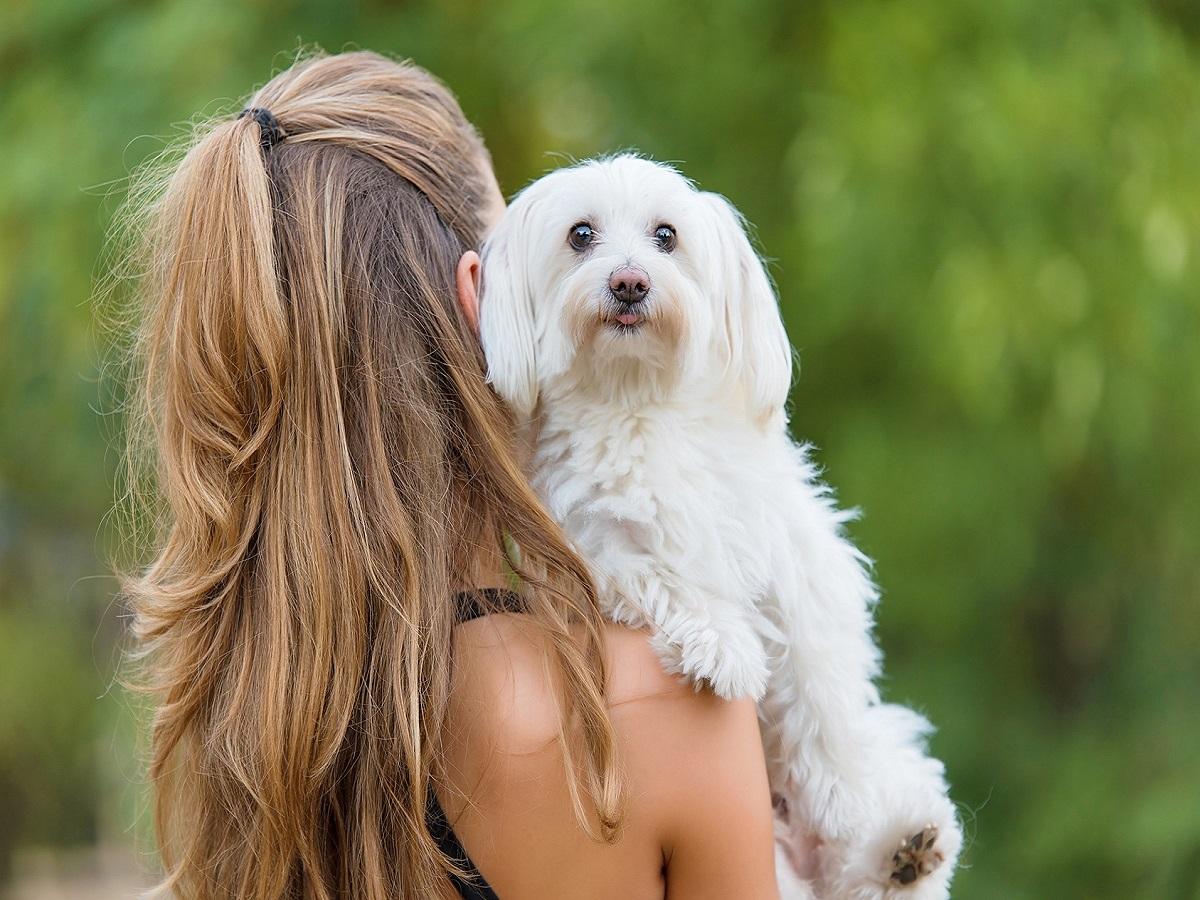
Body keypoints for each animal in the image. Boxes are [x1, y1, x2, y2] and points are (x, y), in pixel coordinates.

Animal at [482, 157, 960, 900]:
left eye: (666, 235)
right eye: (580, 234)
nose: (629, 282)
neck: (638, 403)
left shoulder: (799, 563)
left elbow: (821, 688)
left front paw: (848, 795)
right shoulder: (591, 548)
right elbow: (664, 576)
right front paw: (722, 645)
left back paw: (898, 846)